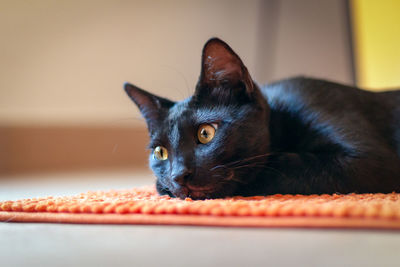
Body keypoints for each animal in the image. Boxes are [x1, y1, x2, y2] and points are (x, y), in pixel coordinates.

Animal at [123, 38, 398, 200]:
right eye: (160, 152)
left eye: (206, 133)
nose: (178, 175)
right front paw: (165, 186)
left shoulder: (367, 159)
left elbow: (281, 167)